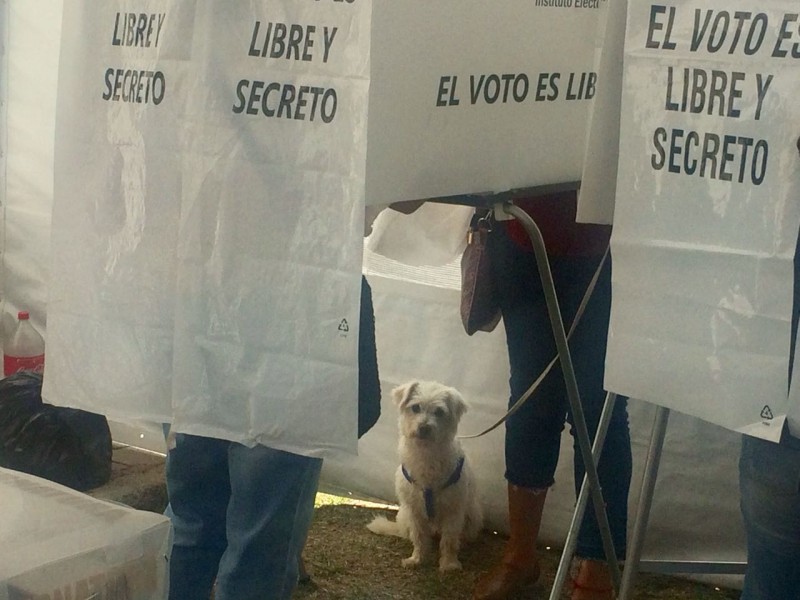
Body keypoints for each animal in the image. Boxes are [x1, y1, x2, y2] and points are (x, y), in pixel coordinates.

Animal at [368, 380, 482, 572]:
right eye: (415, 407)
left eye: (439, 412)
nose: (424, 428)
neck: (426, 453)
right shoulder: (415, 511)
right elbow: (419, 537)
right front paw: (417, 559)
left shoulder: (453, 510)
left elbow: (450, 539)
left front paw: (449, 564)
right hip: (405, 514)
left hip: (474, 515)